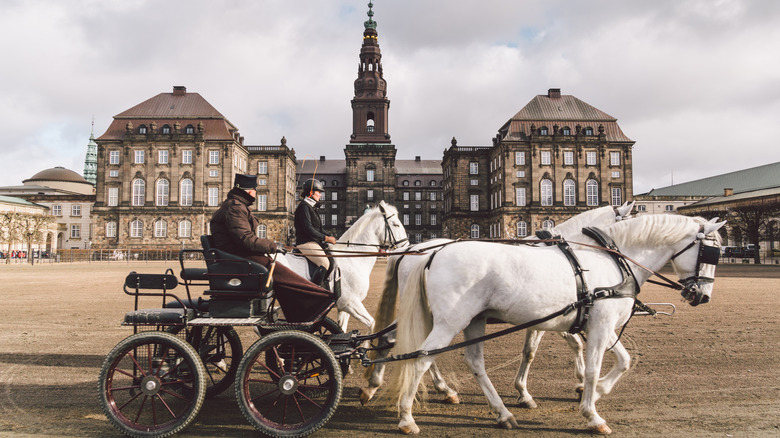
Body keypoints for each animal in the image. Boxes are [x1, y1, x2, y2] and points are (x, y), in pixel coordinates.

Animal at [278, 200, 408, 330]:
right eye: (396, 224)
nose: (407, 245)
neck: (351, 257)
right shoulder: (350, 302)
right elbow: (372, 324)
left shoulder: (344, 308)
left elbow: (342, 330)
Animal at [360, 202, 632, 404]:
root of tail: (411, 251)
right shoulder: (549, 315)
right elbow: (538, 350)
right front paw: (528, 392)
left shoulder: (551, 316)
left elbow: (567, 344)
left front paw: (579, 382)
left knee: (398, 340)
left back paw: (381, 386)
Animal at [386, 215, 724, 434]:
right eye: (711, 252)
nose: (703, 296)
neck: (610, 261)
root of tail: (433, 253)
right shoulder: (597, 325)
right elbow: (592, 366)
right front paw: (591, 412)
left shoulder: (595, 325)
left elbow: (623, 360)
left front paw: (595, 392)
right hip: (450, 321)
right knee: (421, 359)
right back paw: (407, 416)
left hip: (473, 321)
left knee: (473, 362)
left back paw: (501, 413)